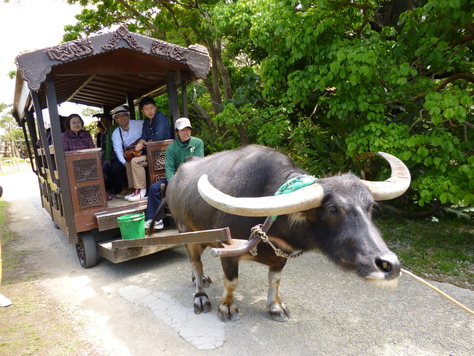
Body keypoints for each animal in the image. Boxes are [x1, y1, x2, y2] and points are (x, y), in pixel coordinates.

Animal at [154, 143, 410, 322]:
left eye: (370, 207)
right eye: (333, 209)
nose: (390, 265)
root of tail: (174, 181)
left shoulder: (281, 256)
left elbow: (275, 281)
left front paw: (275, 306)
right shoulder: (228, 253)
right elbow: (232, 283)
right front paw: (227, 307)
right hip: (185, 231)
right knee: (195, 261)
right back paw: (200, 296)